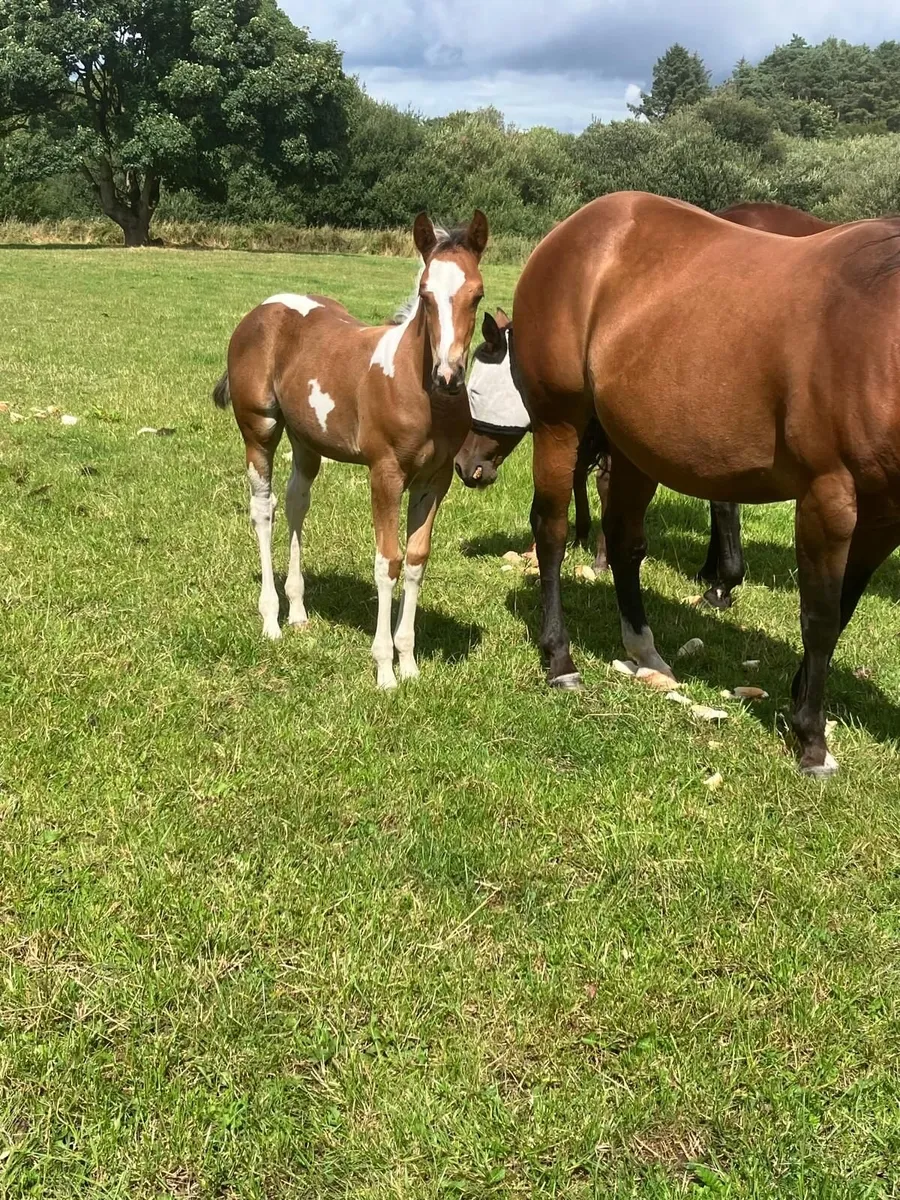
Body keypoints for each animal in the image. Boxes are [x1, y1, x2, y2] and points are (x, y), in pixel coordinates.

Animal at [214, 210, 488, 688]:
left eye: (477, 295)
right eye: (425, 294)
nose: (448, 376)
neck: (419, 391)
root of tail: (263, 308)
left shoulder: (434, 480)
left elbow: (415, 559)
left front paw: (409, 663)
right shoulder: (385, 474)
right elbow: (387, 562)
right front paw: (385, 669)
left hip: (306, 441)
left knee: (296, 503)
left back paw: (298, 612)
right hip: (259, 430)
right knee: (263, 509)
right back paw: (271, 620)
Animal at [511, 191, 900, 776]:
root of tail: (572, 229)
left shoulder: (884, 514)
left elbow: (843, 610)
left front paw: (797, 701)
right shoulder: (827, 497)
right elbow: (820, 616)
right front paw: (810, 739)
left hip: (634, 448)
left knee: (624, 542)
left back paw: (644, 650)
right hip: (560, 425)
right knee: (552, 534)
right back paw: (560, 659)